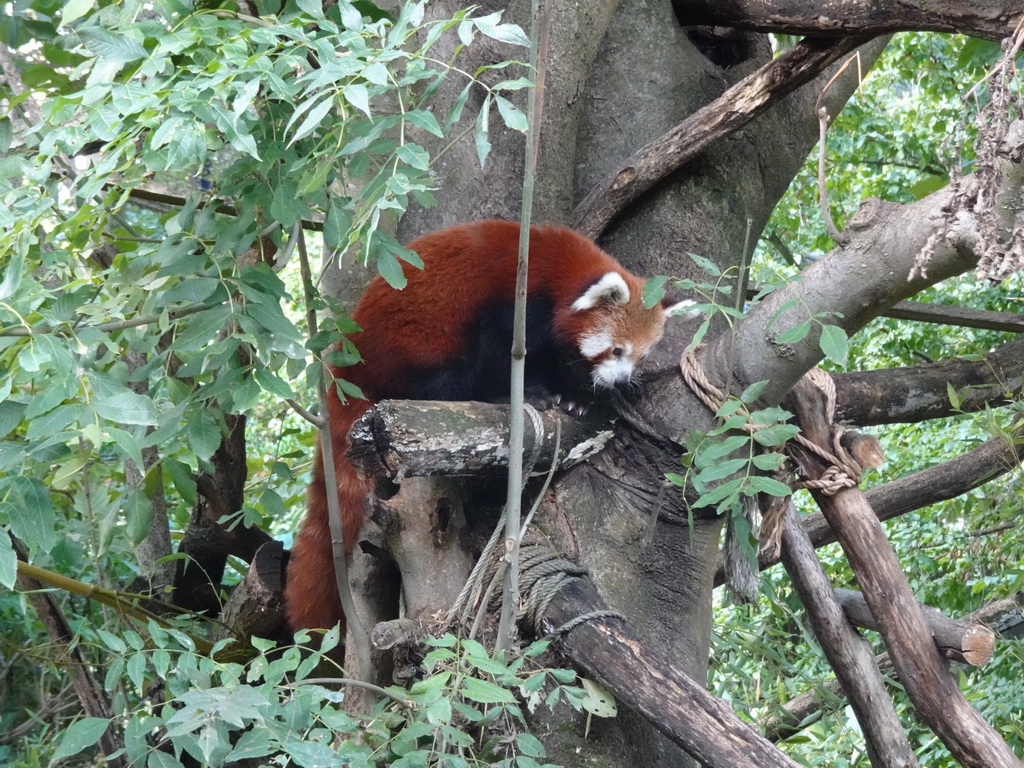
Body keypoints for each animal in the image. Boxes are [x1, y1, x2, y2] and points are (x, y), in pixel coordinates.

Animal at [284, 219, 692, 634]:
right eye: (616, 350)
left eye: (639, 357)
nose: (621, 380)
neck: (558, 273)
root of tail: (349, 362)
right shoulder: (514, 302)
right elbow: (502, 352)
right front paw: (531, 392)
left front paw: (573, 396)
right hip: (415, 342)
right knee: (446, 375)